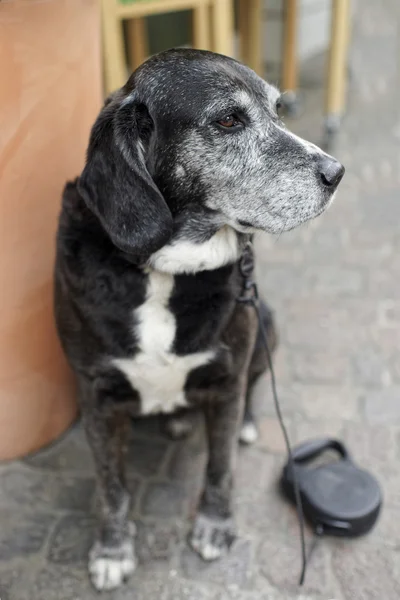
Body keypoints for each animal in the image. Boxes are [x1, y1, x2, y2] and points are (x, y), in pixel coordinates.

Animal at [54, 48, 344, 592]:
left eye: (278, 109)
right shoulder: (95, 395)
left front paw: (214, 525)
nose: (337, 172)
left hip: (266, 324)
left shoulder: (228, 378)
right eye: (229, 120)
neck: (165, 268)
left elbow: (220, 466)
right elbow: (111, 485)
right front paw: (112, 549)